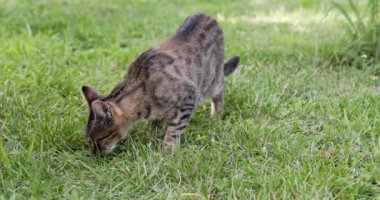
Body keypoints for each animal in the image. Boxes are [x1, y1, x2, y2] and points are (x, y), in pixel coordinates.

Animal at [81, 13, 239, 154]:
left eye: (97, 140)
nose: (94, 153)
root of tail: (207, 15)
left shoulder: (188, 98)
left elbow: (174, 131)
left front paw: (167, 152)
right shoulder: (158, 113)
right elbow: (155, 127)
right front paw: (152, 142)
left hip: (213, 81)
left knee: (220, 91)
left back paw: (216, 116)